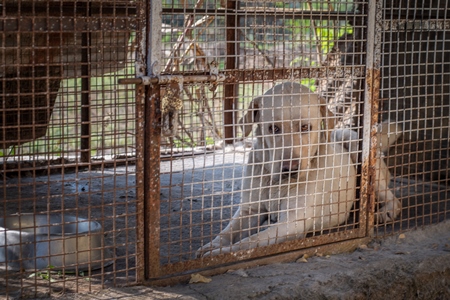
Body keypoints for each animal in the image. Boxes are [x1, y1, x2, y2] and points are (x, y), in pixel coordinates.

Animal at [197, 82, 400, 258]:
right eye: (273, 128)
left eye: (305, 127)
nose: (290, 169)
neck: (276, 183)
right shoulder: (249, 210)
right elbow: (227, 232)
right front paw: (212, 246)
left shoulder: (292, 222)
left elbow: (250, 241)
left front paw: (221, 254)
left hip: (353, 142)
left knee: (393, 199)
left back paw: (386, 212)